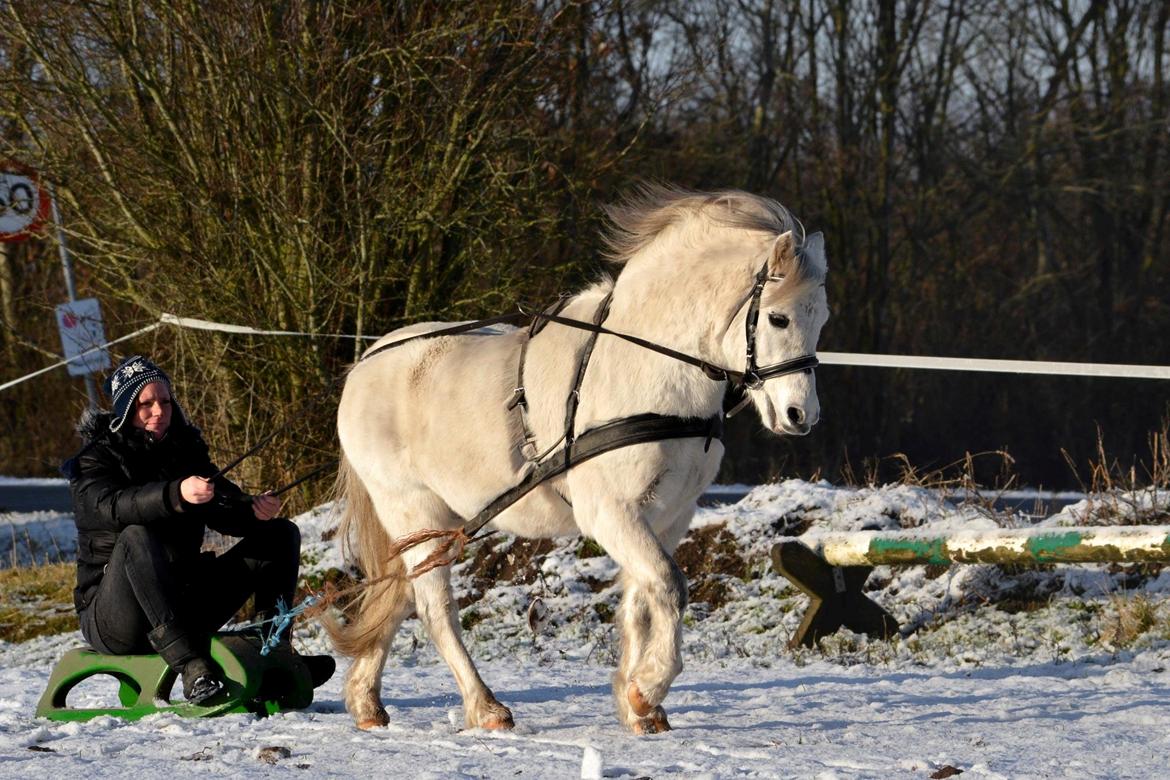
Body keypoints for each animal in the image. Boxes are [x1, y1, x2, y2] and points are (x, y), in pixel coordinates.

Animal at [325, 185, 828, 734]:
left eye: (820, 320)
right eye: (778, 317)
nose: (801, 415)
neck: (651, 369)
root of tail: (366, 362)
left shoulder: (667, 515)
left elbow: (641, 601)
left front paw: (638, 705)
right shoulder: (610, 511)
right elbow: (669, 587)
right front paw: (649, 687)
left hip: (442, 521)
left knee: (398, 594)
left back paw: (366, 701)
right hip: (414, 510)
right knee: (435, 608)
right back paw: (485, 707)